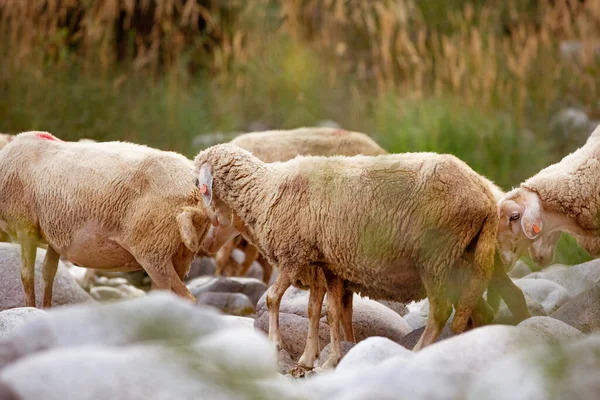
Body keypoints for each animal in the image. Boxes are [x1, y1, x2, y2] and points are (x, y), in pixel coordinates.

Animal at [0, 130, 209, 306]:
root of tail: (196, 196)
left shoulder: (25, 226)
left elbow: (26, 275)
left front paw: (31, 309)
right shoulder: (56, 236)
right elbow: (48, 273)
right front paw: (45, 310)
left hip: (153, 250)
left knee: (187, 298)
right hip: (180, 253)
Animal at [195, 143, 500, 368]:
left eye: (198, 184)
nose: (205, 244)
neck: (264, 191)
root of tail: (486, 195)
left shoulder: (294, 255)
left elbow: (272, 299)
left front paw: (275, 344)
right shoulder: (328, 265)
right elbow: (325, 312)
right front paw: (320, 359)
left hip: (436, 256)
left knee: (440, 311)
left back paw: (418, 352)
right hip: (462, 260)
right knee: (474, 310)